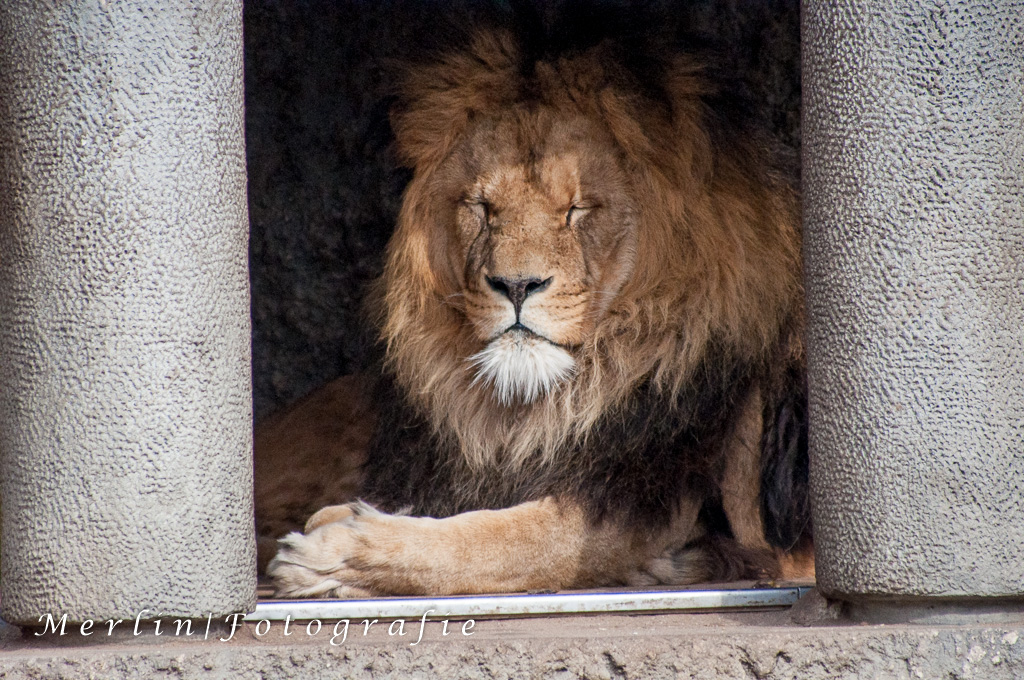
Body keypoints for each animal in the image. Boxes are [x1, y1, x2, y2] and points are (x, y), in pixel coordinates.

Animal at [264, 19, 812, 598]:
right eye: (481, 206)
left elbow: (504, 541)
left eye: (577, 209)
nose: (517, 285)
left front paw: (335, 553)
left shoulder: (639, 504)